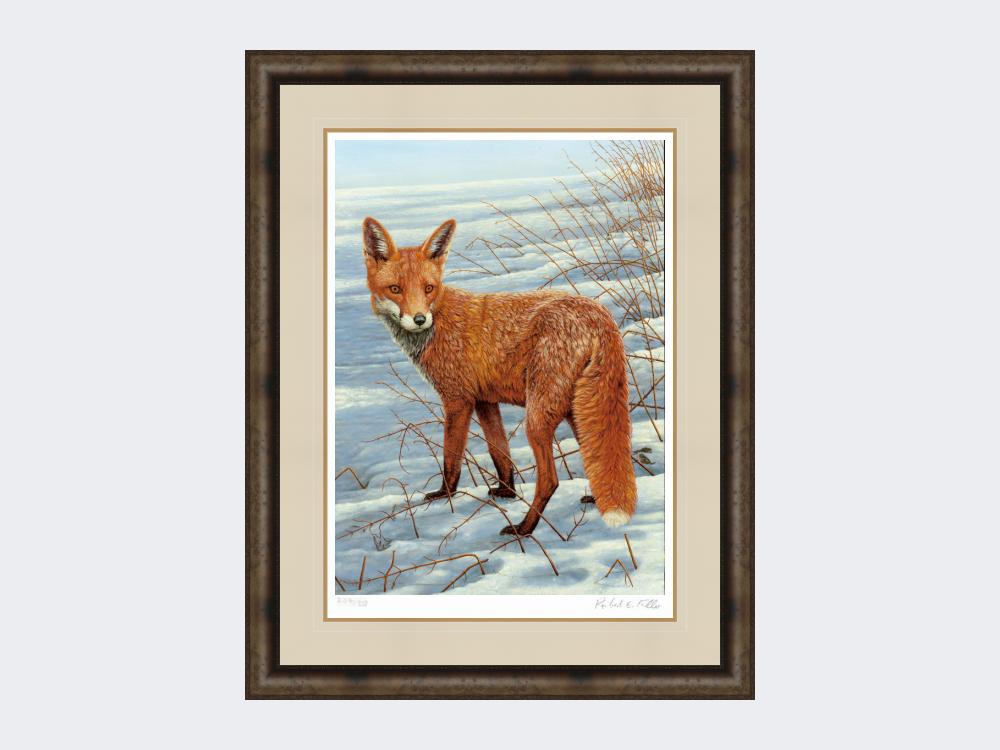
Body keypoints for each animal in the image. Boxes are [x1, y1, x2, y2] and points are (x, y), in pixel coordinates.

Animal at [362, 216, 637, 536]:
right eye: (395, 289)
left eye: (429, 288)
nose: (419, 319)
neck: (440, 320)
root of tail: (599, 315)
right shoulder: (485, 401)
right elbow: (500, 453)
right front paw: (507, 491)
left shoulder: (458, 400)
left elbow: (451, 459)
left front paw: (444, 495)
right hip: (577, 410)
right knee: (601, 456)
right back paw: (596, 499)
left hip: (538, 416)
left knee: (550, 480)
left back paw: (525, 528)